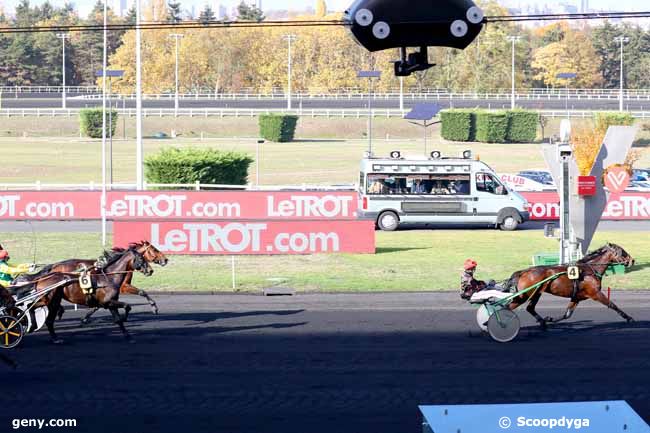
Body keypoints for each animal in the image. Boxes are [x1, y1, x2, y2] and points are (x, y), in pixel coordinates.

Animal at [502, 243, 632, 328]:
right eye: (622, 251)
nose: (632, 260)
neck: (590, 270)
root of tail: (524, 272)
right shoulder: (595, 293)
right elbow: (612, 304)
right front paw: (628, 317)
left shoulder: (576, 297)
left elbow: (567, 314)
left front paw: (550, 319)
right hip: (525, 295)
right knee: (507, 307)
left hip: (536, 293)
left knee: (529, 308)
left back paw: (543, 322)